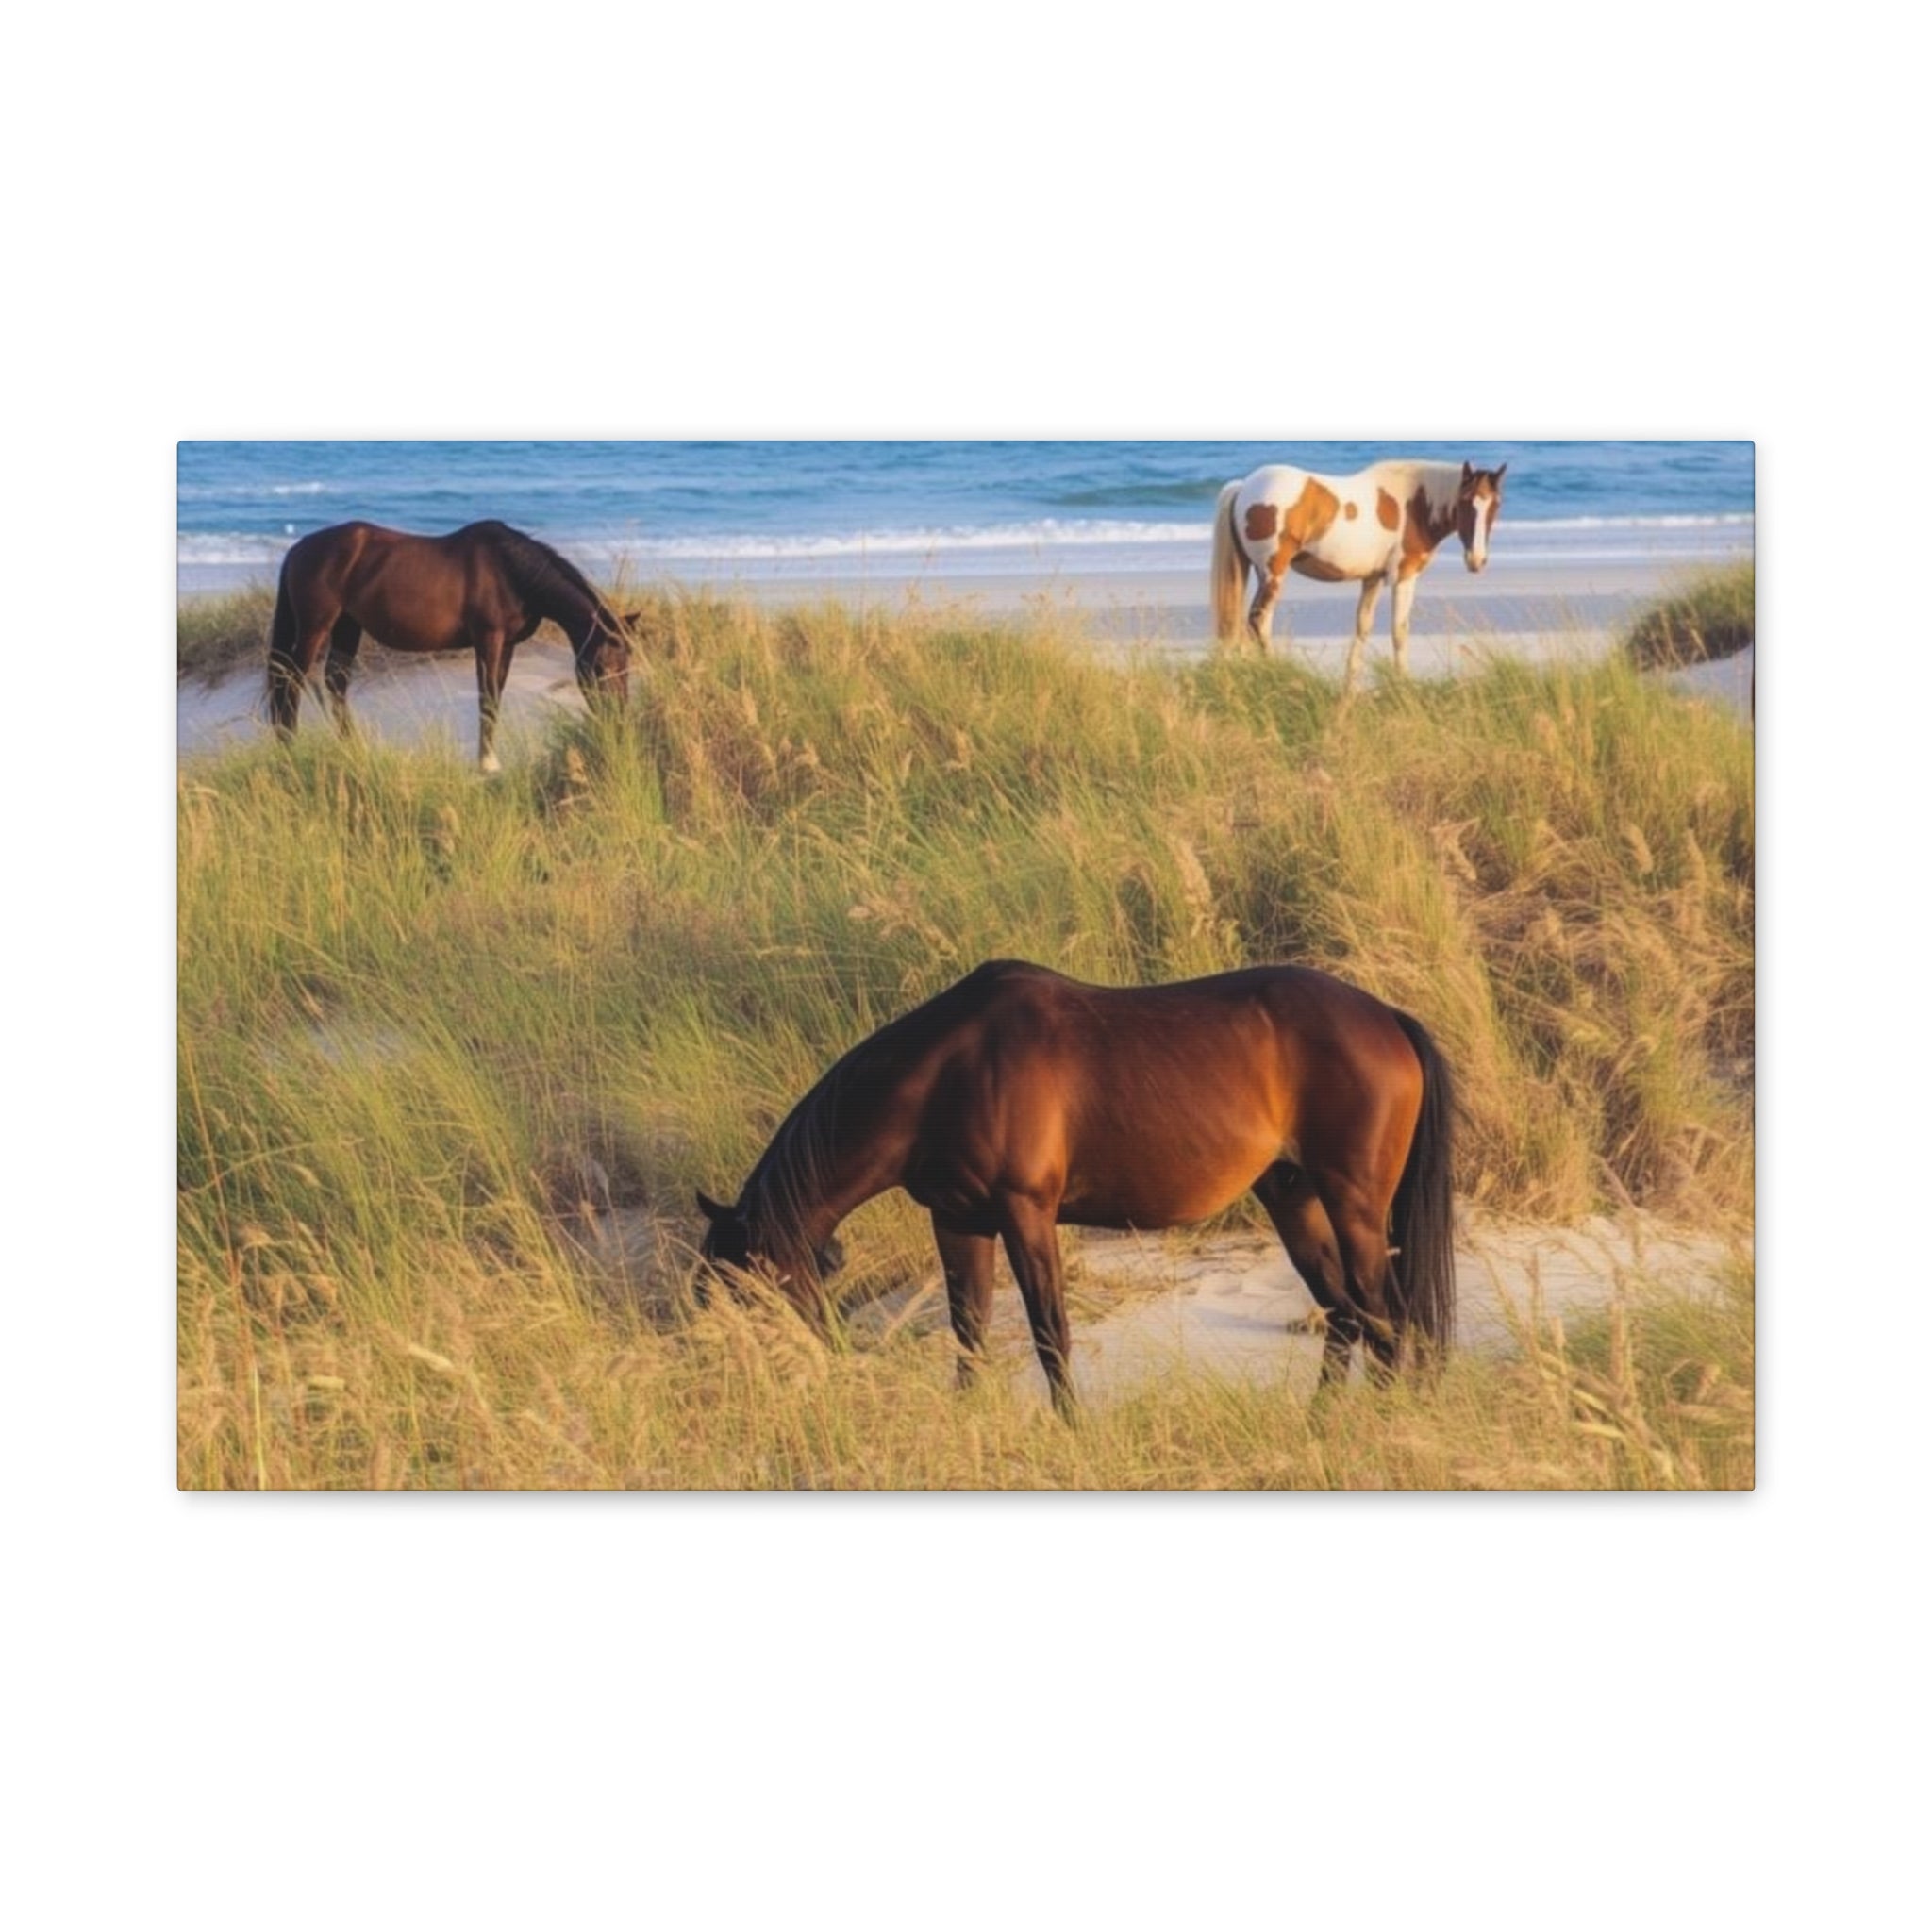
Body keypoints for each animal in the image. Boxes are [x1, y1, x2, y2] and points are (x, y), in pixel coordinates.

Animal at [265, 520, 633, 771]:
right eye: (602, 665)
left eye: (627, 667)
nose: (618, 720)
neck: (510, 570)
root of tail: (299, 549)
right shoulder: (488, 638)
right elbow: (486, 696)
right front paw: (486, 763)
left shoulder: (508, 645)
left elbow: (496, 697)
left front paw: (490, 758)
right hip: (316, 627)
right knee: (290, 680)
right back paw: (288, 747)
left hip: (347, 626)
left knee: (335, 681)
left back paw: (351, 747)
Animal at [696, 959, 1456, 1413]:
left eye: (744, 1290)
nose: (725, 1386)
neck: (947, 1073)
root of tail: (1388, 1018)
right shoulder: (959, 1221)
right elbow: (968, 1331)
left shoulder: (1026, 1214)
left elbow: (1049, 1333)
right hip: (1292, 1196)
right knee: (1347, 1315)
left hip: (1354, 1204)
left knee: (1384, 1316)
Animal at [1211, 460, 1507, 691]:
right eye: (1465, 502)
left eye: (1496, 505)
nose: (1477, 560)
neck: (1415, 504)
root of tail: (1243, 488)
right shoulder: (1404, 577)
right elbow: (1399, 630)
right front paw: (1404, 684)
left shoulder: (1372, 579)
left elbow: (1363, 627)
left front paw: (1350, 685)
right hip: (1273, 573)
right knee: (1259, 620)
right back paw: (1276, 675)